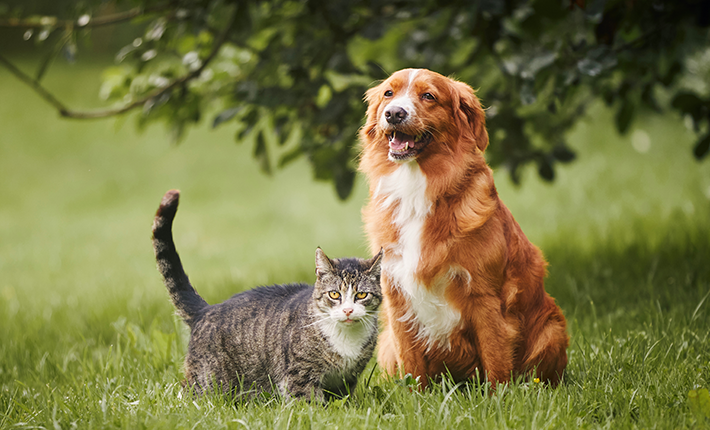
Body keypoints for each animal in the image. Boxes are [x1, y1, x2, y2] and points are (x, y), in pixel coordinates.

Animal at [151, 190, 384, 402]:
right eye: (334, 294)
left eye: (361, 294)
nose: (348, 310)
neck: (346, 340)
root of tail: (206, 309)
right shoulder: (300, 375)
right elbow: (309, 404)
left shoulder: (347, 379)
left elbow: (342, 400)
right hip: (208, 381)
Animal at [358, 69, 572, 386]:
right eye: (388, 93)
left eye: (428, 96)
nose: (394, 113)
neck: (417, 187)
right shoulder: (397, 295)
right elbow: (411, 367)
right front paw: (414, 397)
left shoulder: (485, 296)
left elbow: (495, 359)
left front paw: (499, 396)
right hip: (385, 345)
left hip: (552, 330)